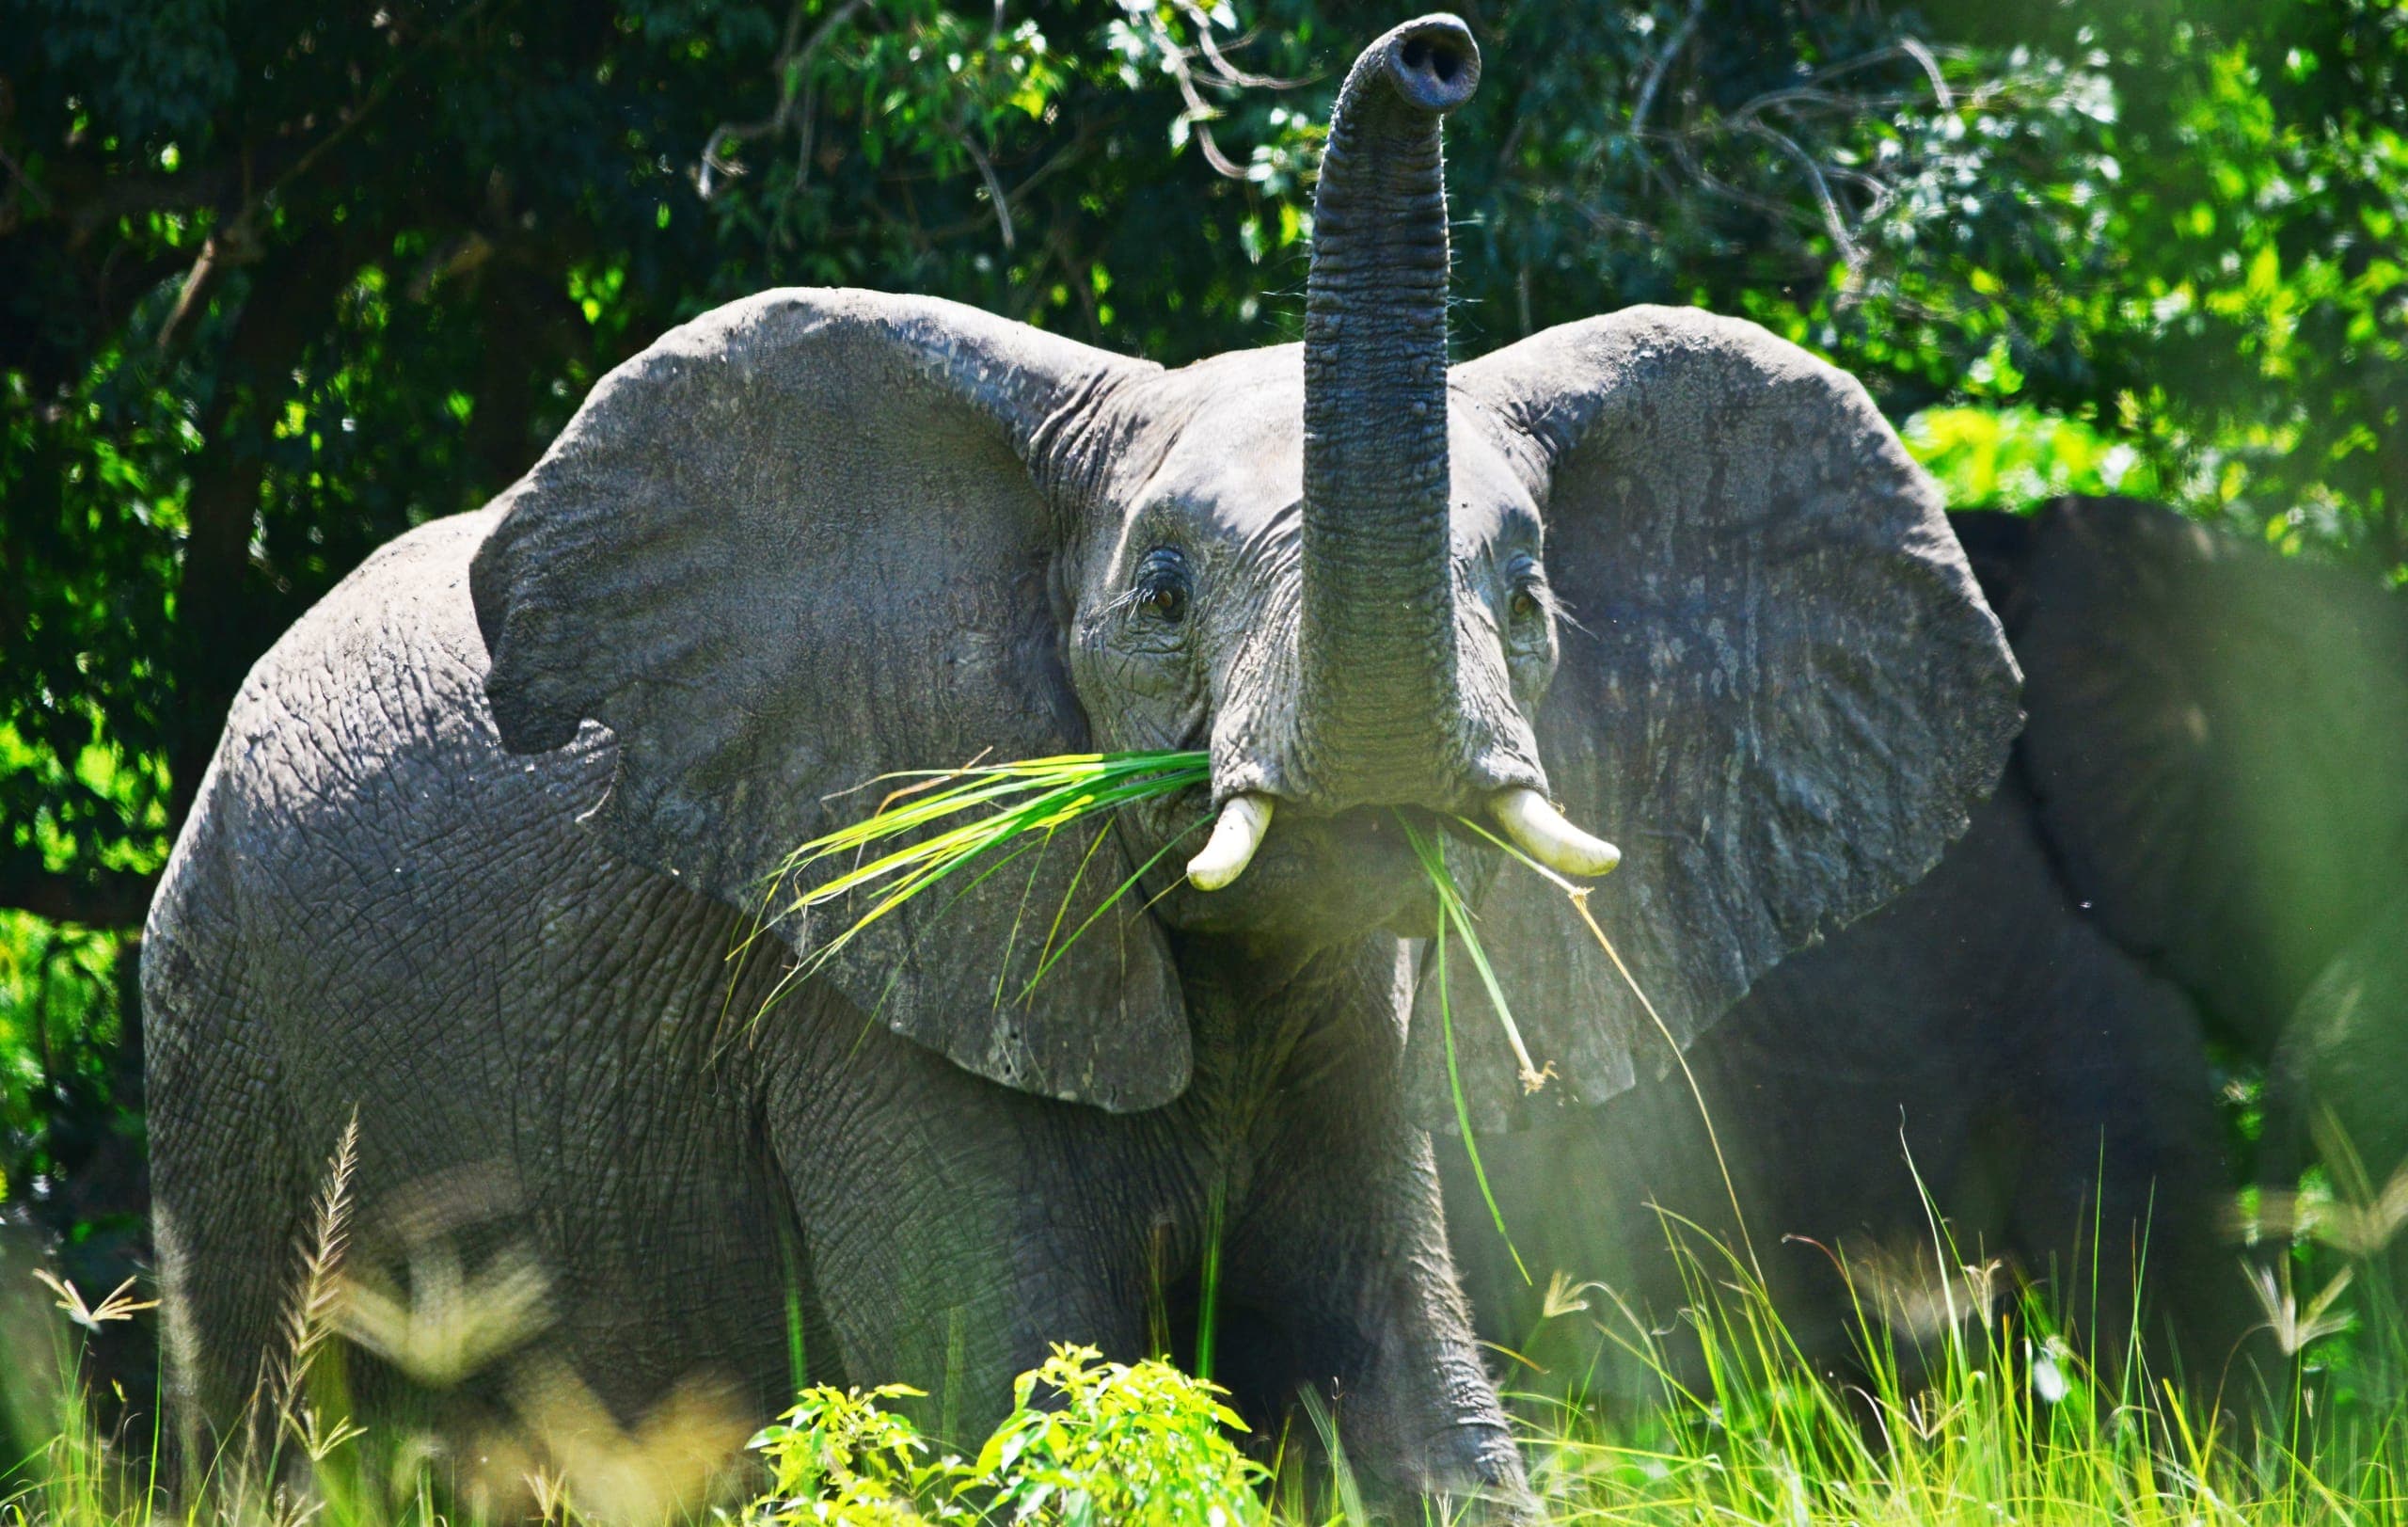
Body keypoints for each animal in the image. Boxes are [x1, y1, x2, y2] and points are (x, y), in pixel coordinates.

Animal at [139, 15, 2018, 1513]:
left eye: (1529, 594)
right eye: (1162, 595)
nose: (1437, 52)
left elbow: (1408, 1401)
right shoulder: (863, 967)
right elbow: (1009, 1385)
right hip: (222, 1028)